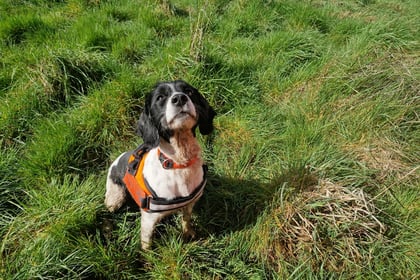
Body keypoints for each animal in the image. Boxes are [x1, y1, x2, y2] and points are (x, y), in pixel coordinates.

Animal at [105, 80, 217, 249]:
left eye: (189, 91)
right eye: (160, 97)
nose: (179, 98)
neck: (178, 165)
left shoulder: (189, 204)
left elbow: (186, 220)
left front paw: (189, 233)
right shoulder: (149, 219)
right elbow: (147, 243)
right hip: (114, 199)